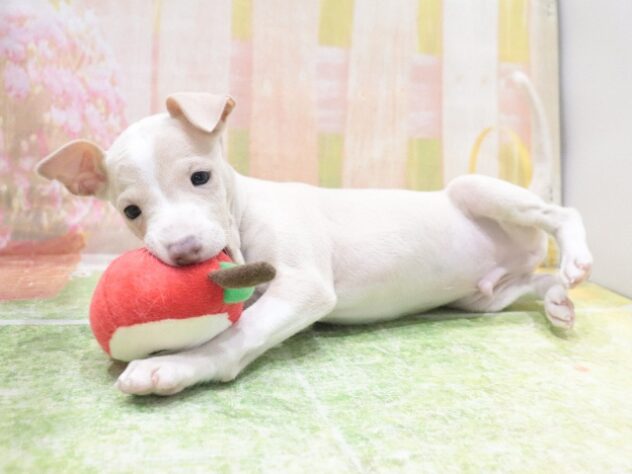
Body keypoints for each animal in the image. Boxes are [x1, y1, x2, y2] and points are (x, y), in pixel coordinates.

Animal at [36, 92, 593, 396]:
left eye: (200, 177)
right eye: (131, 211)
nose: (185, 249)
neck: (243, 212)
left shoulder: (302, 286)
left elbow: (235, 336)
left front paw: (170, 365)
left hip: (475, 191)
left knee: (558, 213)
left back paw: (575, 257)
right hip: (482, 299)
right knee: (530, 282)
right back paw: (557, 302)